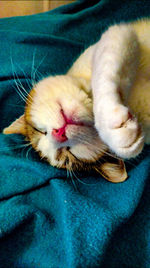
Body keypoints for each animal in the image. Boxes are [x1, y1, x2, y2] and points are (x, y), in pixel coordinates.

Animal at [2, 19, 150, 183]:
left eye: (40, 131)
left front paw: (108, 120)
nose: (58, 134)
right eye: (68, 155)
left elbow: (105, 76)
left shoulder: (117, 37)